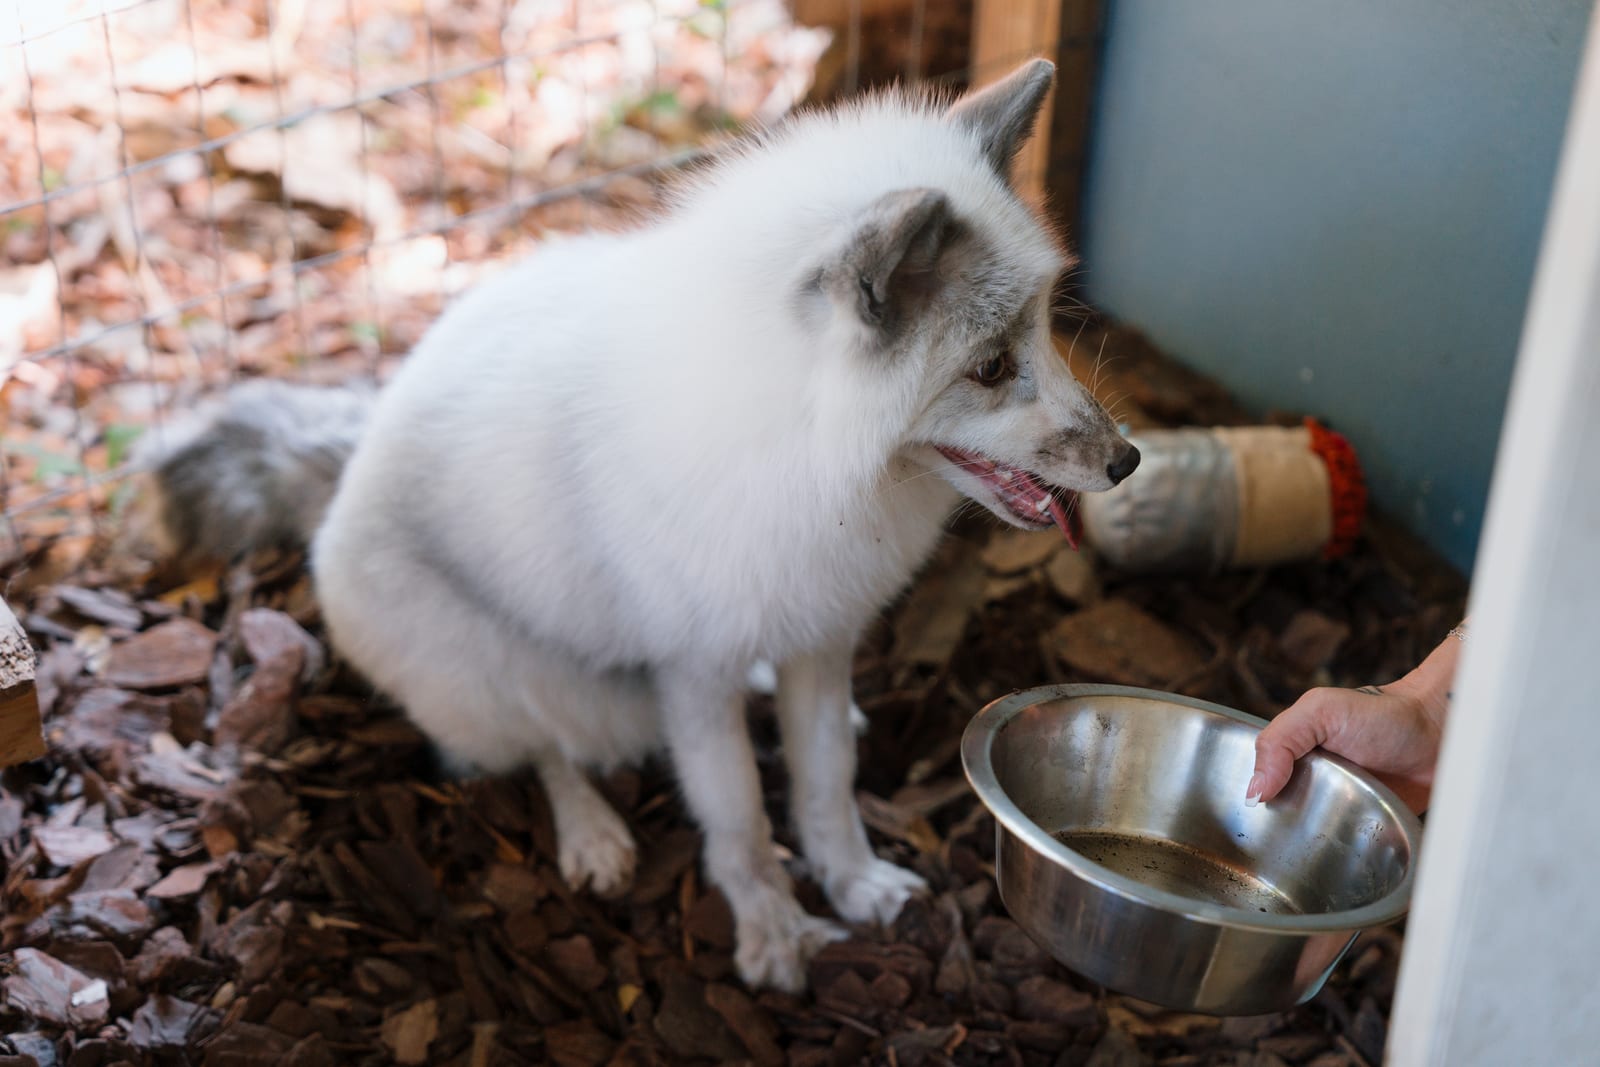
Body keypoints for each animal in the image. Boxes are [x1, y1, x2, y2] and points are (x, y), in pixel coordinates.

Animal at [141, 59, 1140, 992]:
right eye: (990, 366)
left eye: (1042, 331)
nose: (1126, 461)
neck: (803, 447)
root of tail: (355, 451)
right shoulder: (693, 678)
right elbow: (740, 822)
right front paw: (774, 932)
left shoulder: (822, 638)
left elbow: (826, 786)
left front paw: (854, 884)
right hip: (496, 678)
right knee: (546, 750)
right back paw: (592, 834)